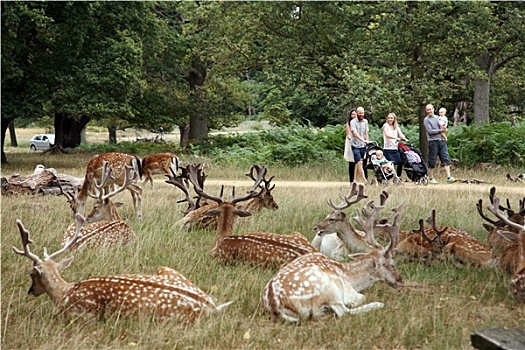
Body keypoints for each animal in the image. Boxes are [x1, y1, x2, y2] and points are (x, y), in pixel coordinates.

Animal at [12, 212, 232, 322]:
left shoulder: (78, 314)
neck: (64, 292)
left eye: (31, 274)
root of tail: (211, 306)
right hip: (167, 269)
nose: (31, 291)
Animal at [260, 211, 404, 322]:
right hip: (329, 289)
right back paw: (378, 304)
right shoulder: (348, 291)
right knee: (343, 312)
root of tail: (276, 306)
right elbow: (360, 297)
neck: (350, 276)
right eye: (392, 265)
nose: (401, 281)